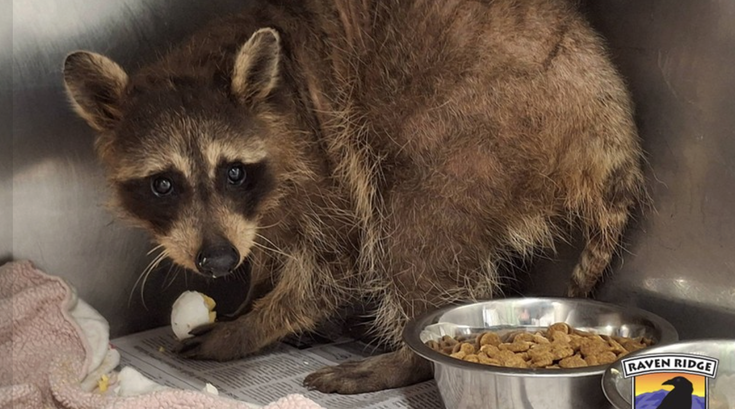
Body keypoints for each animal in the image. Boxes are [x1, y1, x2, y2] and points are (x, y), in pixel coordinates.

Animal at [62, 0, 646, 394]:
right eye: (162, 183)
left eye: (233, 172)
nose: (218, 261)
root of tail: (603, 112)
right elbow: (269, 247)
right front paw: (255, 291)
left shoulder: (325, 156)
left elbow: (335, 262)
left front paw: (252, 326)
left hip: (480, 124)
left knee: (415, 230)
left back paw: (408, 358)